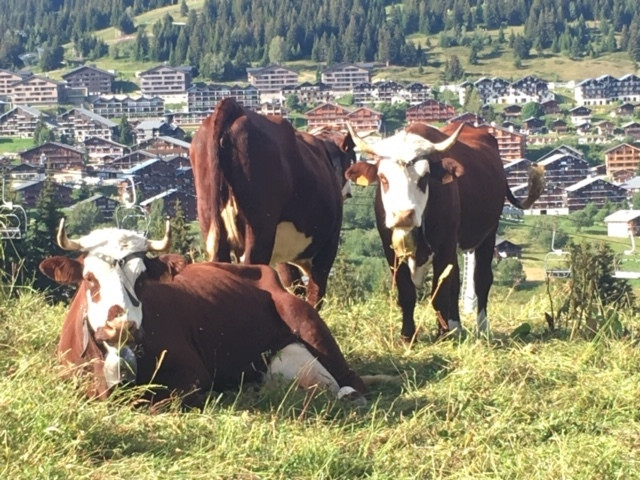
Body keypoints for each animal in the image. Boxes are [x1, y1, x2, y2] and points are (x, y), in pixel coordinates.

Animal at [39, 220, 368, 407]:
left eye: (141, 278)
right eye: (89, 278)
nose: (121, 326)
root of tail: (262, 271)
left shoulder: (192, 376)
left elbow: (160, 403)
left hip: (307, 322)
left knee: (353, 381)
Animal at [189, 98, 356, 308]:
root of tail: (235, 107)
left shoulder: (283, 254)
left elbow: (295, 286)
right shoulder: (330, 242)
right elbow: (315, 292)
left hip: (209, 216)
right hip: (260, 226)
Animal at [345, 122, 544, 340]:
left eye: (424, 178)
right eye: (383, 178)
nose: (403, 215)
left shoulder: (444, 246)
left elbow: (439, 294)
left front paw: (442, 335)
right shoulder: (391, 250)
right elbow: (407, 293)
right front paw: (408, 336)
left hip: (488, 234)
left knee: (481, 280)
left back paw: (481, 327)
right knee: (455, 282)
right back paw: (455, 326)